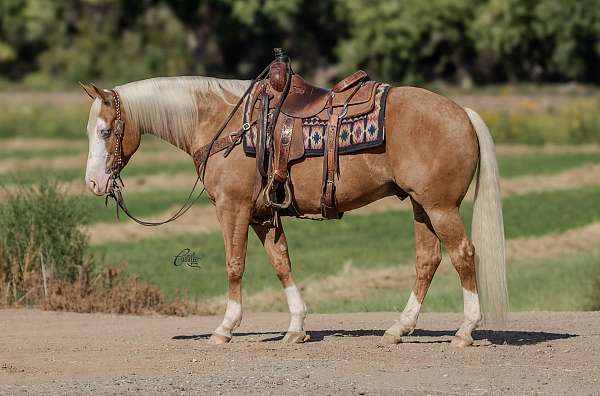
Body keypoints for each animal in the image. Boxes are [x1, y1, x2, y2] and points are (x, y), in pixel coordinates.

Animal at [82, 74, 508, 346]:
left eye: (105, 131)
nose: (93, 183)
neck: (224, 125)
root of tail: (463, 112)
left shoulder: (233, 209)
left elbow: (234, 265)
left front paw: (225, 328)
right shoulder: (261, 215)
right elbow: (281, 262)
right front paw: (296, 327)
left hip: (440, 207)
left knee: (463, 255)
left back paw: (465, 331)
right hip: (422, 207)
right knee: (428, 260)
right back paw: (398, 329)